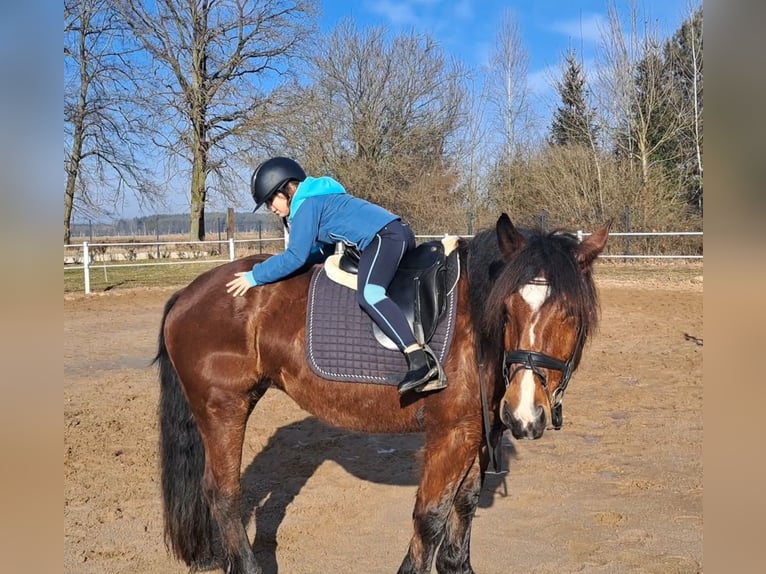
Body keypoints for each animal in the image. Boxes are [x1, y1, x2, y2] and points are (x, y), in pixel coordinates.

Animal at [156, 214, 612, 572]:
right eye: (508, 309)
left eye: (571, 313)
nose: (524, 414)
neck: (477, 329)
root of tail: (189, 293)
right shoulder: (450, 434)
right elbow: (430, 517)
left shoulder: (476, 434)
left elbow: (463, 508)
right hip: (224, 407)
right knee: (223, 493)